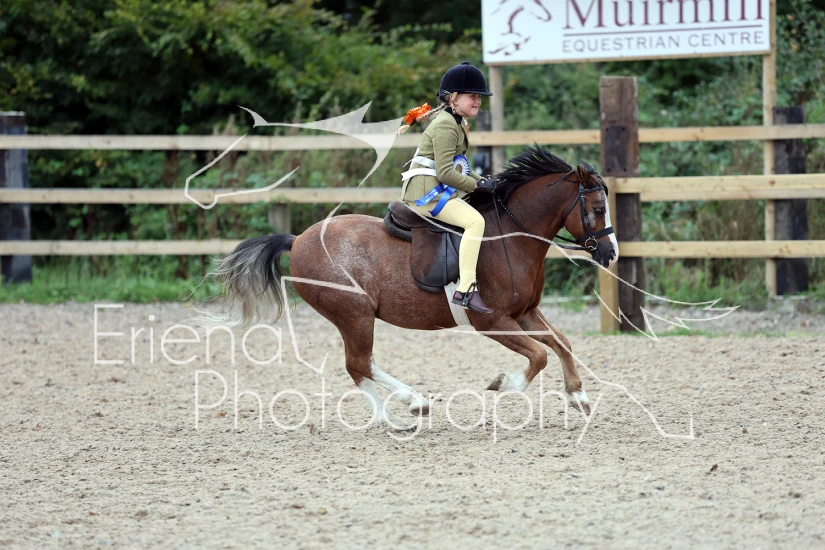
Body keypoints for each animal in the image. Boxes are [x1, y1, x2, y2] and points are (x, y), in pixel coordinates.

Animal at [206, 145, 618, 429]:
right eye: (598, 209)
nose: (611, 254)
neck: (510, 238)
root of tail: (297, 240)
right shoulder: (493, 322)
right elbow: (538, 356)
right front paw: (505, 383)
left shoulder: (525, 313)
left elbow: (561, 344)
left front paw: (578, 395)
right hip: (354, 313)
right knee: (358, 363)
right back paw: (411, 404)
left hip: (355, 317)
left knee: (360, 366)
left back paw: (392, 417)